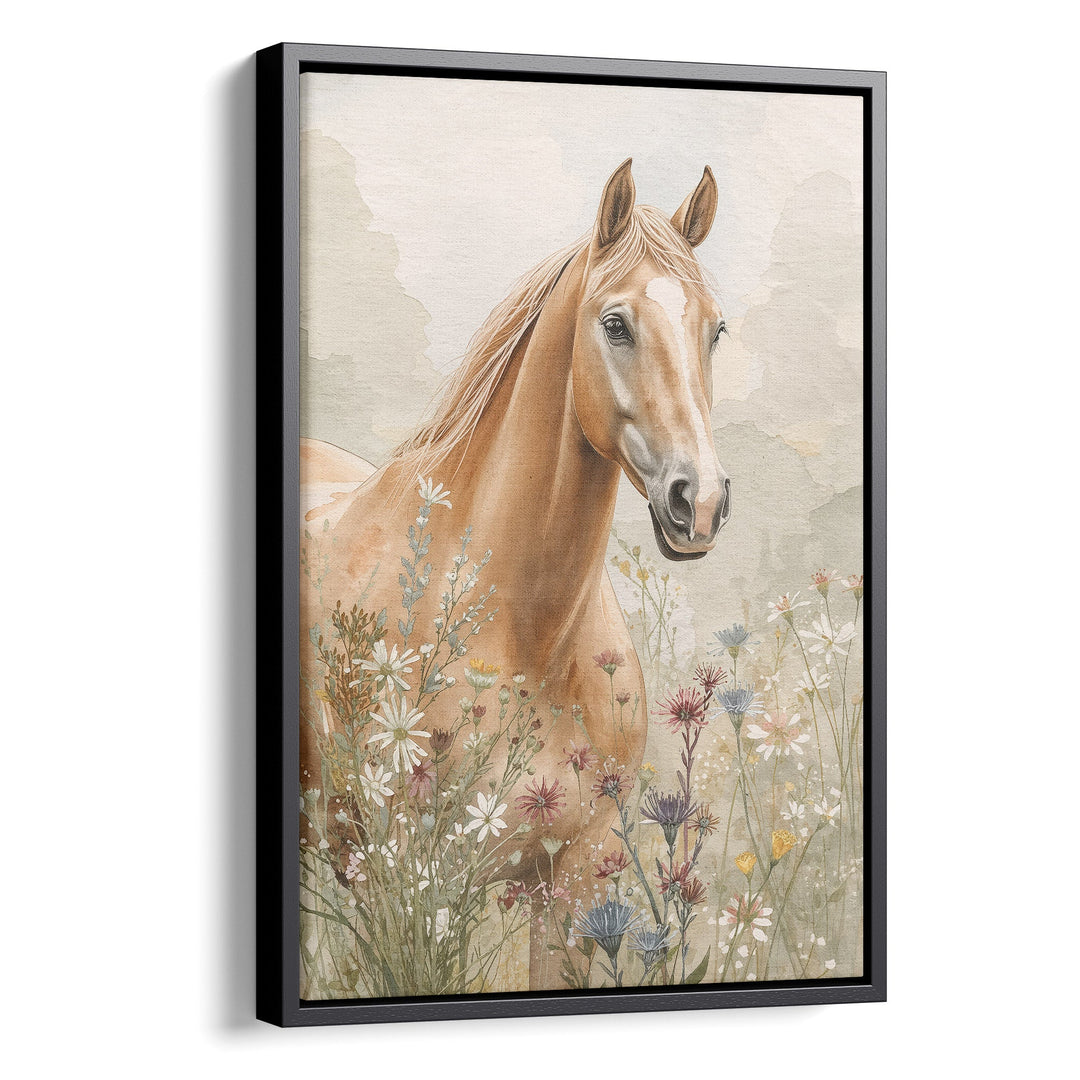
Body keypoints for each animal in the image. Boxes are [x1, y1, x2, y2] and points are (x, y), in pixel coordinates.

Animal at [299, 159, 731, 991]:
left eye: (714, 328)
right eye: (616, 324)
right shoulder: (407, 888)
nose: (699, 502)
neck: (526, 634)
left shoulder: (571, 885)